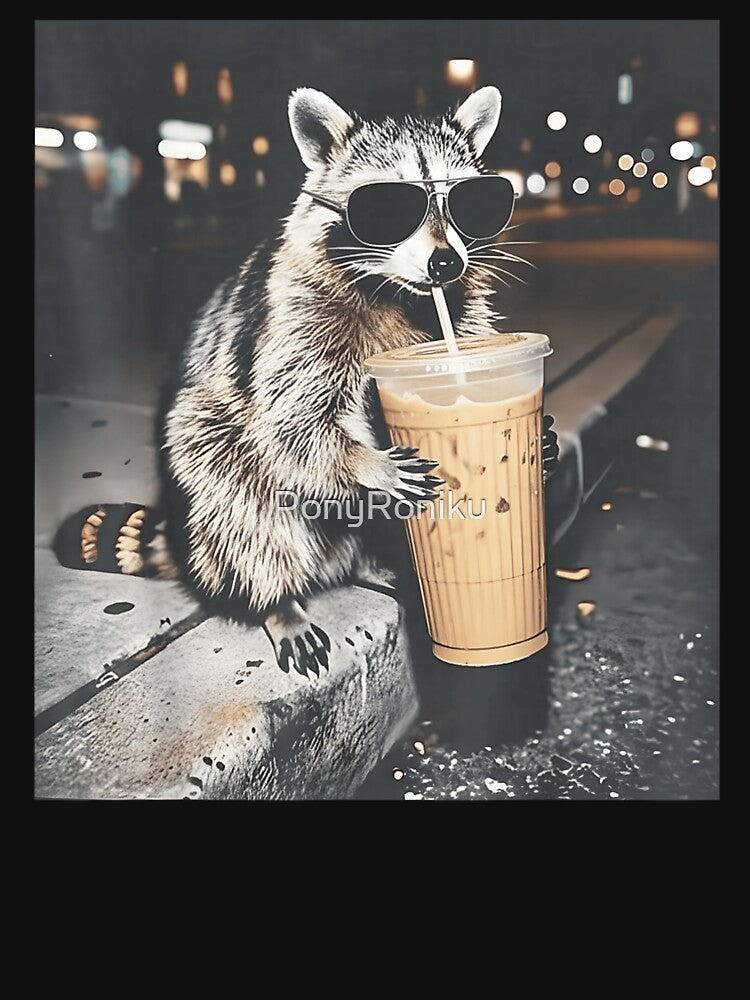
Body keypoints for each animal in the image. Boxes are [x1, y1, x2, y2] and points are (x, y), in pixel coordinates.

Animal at [58, 86, 558, 676]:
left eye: (466, 201)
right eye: (388, 207)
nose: (444, 263)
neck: (398, 291)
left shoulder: (458, 315)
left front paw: (541, 442)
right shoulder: (294, 320)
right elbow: (291, 422)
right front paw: (365, 462)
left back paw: (373, 563)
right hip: (210, 457)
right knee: (240, 504)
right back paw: (278, 601)